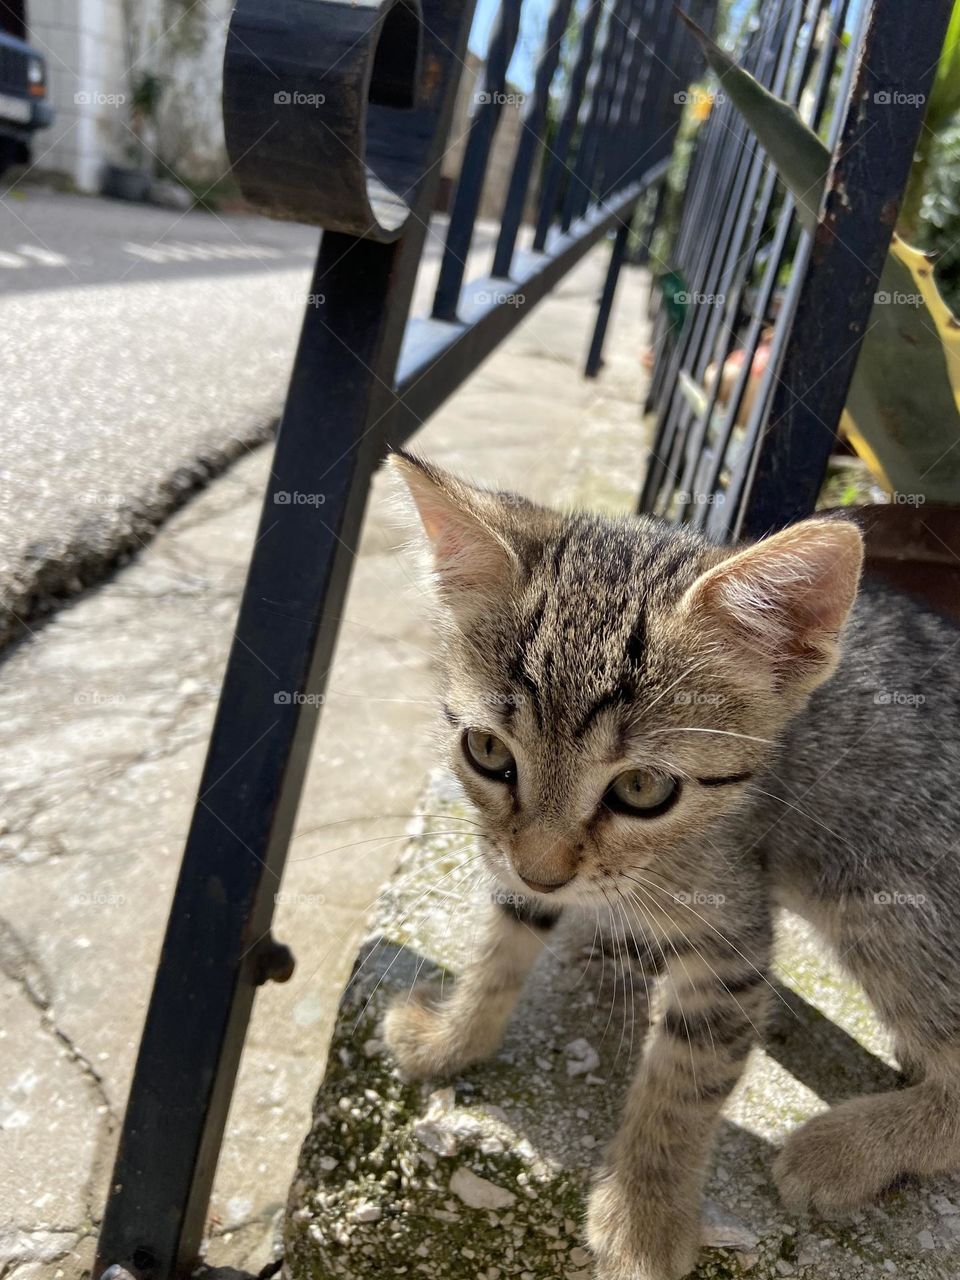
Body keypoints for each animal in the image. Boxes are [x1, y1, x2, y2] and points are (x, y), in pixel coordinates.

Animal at [384, 453, 960, 1280]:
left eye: (643, 789)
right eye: (487, 752)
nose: (544, 872)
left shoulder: (733, 934)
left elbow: (685, 1075)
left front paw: (645, 1216)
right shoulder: (512, 858)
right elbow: (503, 938)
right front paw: (453, 1038)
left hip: (883, 898)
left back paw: (842, 1148)